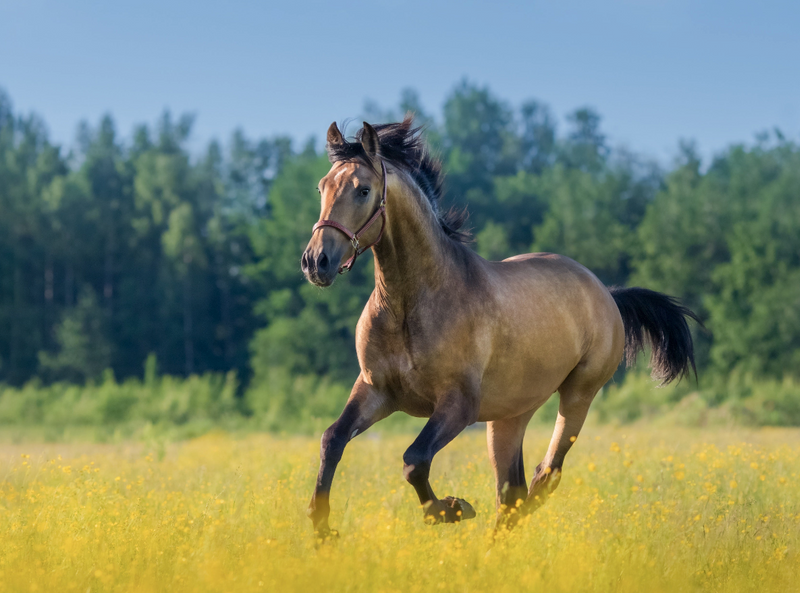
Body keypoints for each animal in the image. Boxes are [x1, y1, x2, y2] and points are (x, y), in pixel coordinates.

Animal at [300, 117, 699, 538]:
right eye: (323, 186)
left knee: (544, 476)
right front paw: (322, 528)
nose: (316, 262)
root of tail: (606, 293)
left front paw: (451, 509)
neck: (409, 304)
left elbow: (414, 459)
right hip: (509, 416)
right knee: (512, 492)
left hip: (578, 395)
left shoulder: (458, 404)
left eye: (363, 190)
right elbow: (332, 439)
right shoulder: (375, 390)